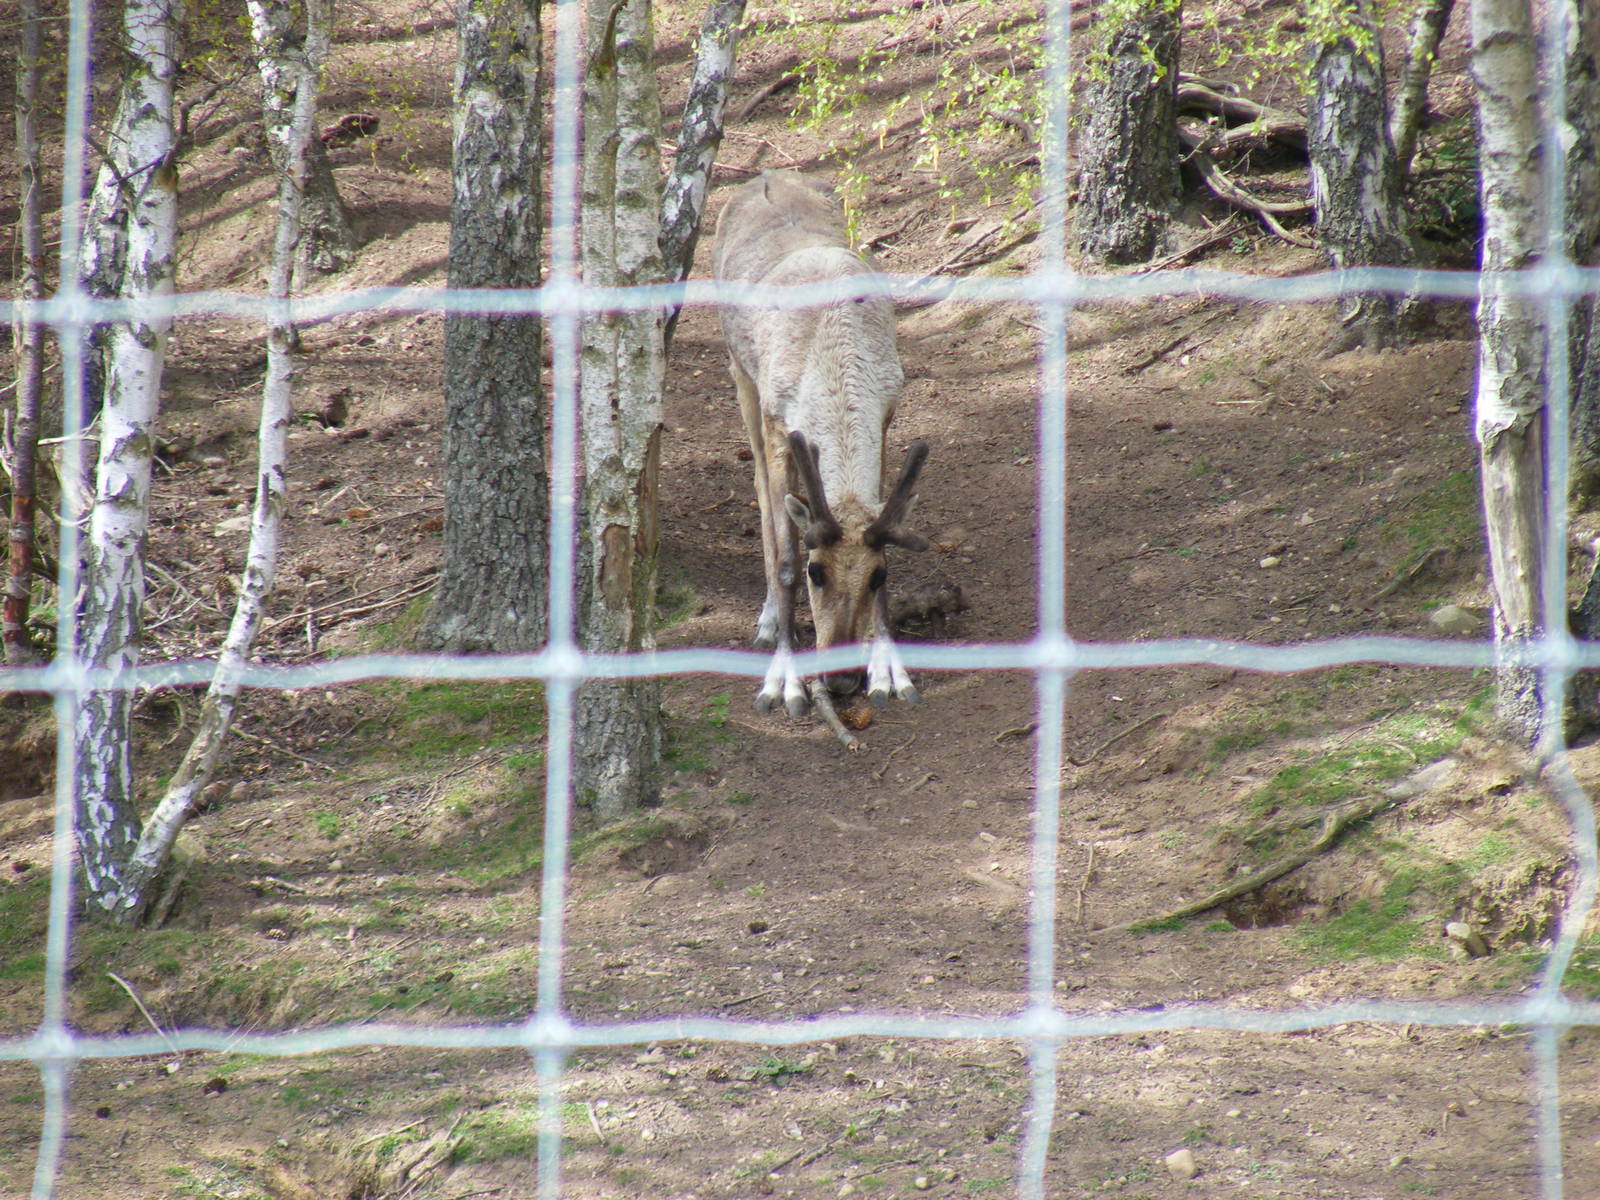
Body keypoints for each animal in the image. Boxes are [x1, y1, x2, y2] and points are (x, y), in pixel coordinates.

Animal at [713, 170, 931, 724]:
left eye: (877, 576)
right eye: (817, 572)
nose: (842, 678)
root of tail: (766, 174)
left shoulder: (887, 411)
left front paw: (888, 671)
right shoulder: (778, 422)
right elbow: (786, 550)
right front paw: (785, 681)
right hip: (740, 374)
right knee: (761, 496)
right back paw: (769, 618)